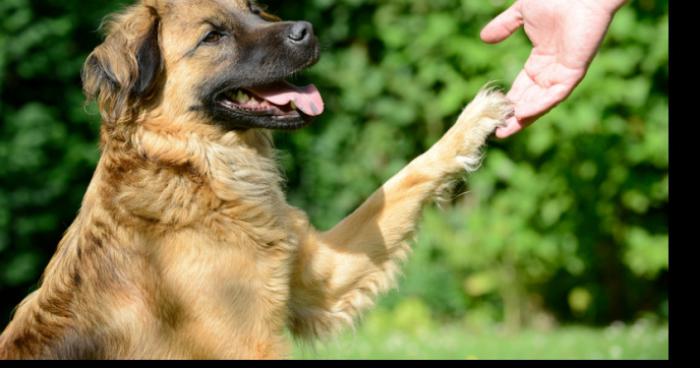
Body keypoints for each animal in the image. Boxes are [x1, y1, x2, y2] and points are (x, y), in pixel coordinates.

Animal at [0, 0, 516, 360]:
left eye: (252, 8)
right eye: (213, 36)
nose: (307, 30)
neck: (196, 169)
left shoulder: (319, 279)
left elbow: (401, 182)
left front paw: (474, 120)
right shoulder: (250, 344)